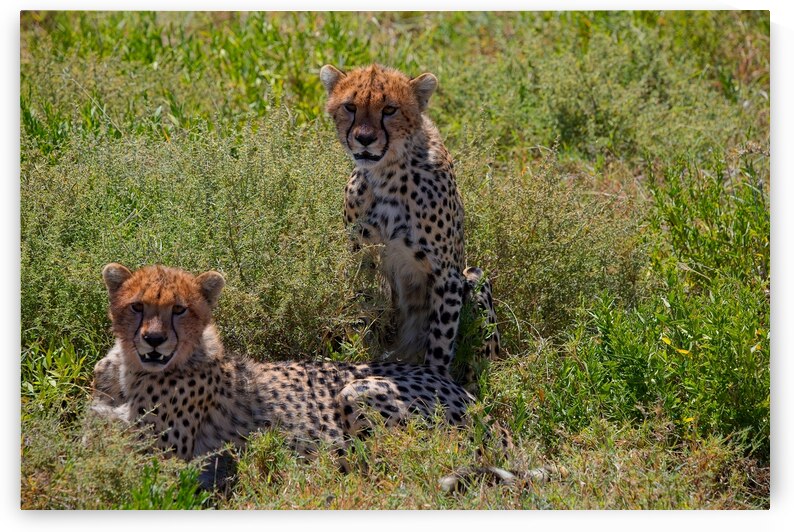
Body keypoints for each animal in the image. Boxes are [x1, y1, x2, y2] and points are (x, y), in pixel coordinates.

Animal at [90, 263, 551, 493]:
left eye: (179, 310)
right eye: (137, 306)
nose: (153, 341)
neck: (130, 369)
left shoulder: (167, 457)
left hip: (358, 390)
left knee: (395, 465)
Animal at [320, 63, 500, 387]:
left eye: (389, 109)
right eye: (350, 107)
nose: (364, 138)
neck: (387, 174)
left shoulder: (447, 275)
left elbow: (440, 341)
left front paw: (436, 383)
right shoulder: (361, 258)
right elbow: (362, 317)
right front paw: (359, 359)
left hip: (475, 277)